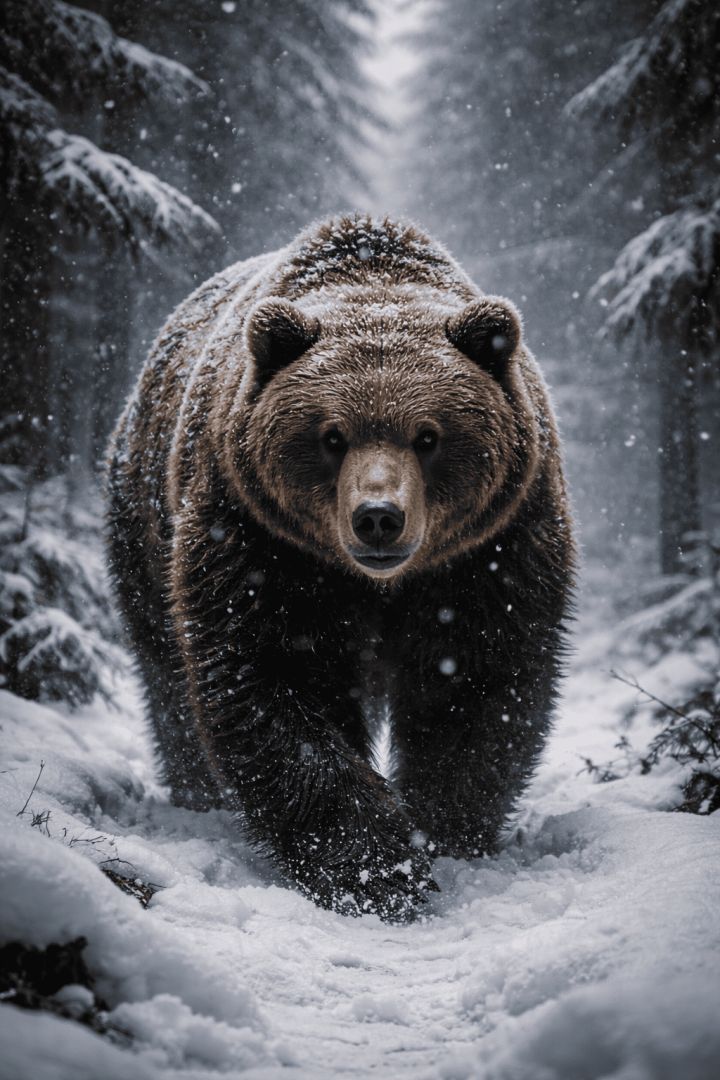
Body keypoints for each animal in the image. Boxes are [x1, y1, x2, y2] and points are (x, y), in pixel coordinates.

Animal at [106, 214, 575, 920]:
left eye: (428, 435)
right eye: (332, 436)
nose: (378, 517)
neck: (379, 586)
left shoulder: (489, 549)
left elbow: (472, 679)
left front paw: (442, 832)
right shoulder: (262, 542)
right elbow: (276, 680)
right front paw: (377, 871)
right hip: (144, 520)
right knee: (168, 671)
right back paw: (198, 793)